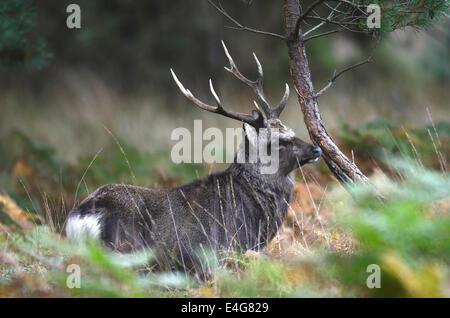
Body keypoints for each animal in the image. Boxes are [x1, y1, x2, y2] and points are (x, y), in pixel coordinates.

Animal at [65, 41, 322, 276]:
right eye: (279, 141)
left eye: (292, 131)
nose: (317, 149)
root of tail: (81, 218)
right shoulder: (219, 253)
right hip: (126, 249)